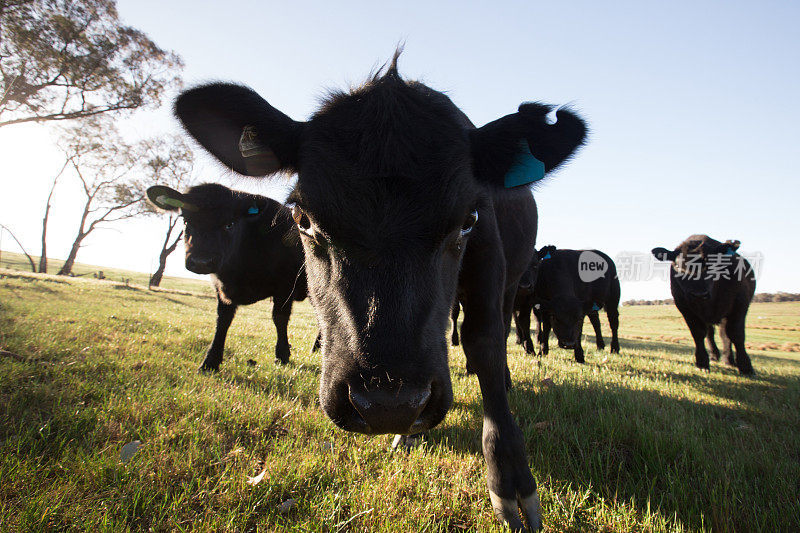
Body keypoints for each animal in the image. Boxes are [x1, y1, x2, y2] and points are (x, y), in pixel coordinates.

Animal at [144, 183, 310, 370]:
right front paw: (210, 361)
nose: (201, 262)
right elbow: (222, 320)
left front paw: (282, 355)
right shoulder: (221, 288)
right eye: (186, 220)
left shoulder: (285, 286)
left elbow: (279, 319)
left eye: (230, 224)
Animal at [648, 233, 756, 374]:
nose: (699, 294)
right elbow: (698, 333)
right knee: (711, 334)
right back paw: (715, 355)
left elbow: (736, 334)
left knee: (724, 335)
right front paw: (702, 362)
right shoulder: (685, 308)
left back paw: (728, 360)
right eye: (678, 267)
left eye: (712, 264)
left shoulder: (739, 305)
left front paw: (746, 366)